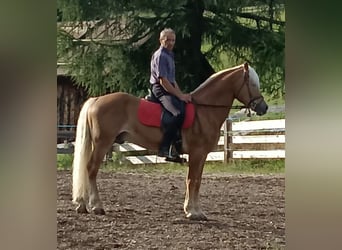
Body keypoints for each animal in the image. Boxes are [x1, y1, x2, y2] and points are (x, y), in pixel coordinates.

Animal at [72, 62, 268, 221]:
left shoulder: (201, 155)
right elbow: (192, 180)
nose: (263, 107)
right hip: (102, 143)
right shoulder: (197, 153)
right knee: (91, 169)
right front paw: (193, 212)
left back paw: (82, 205)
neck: (204, 110)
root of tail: (96, 99)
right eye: (252, 83)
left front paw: (193, 210)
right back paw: (96, 206)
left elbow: (196, 180)